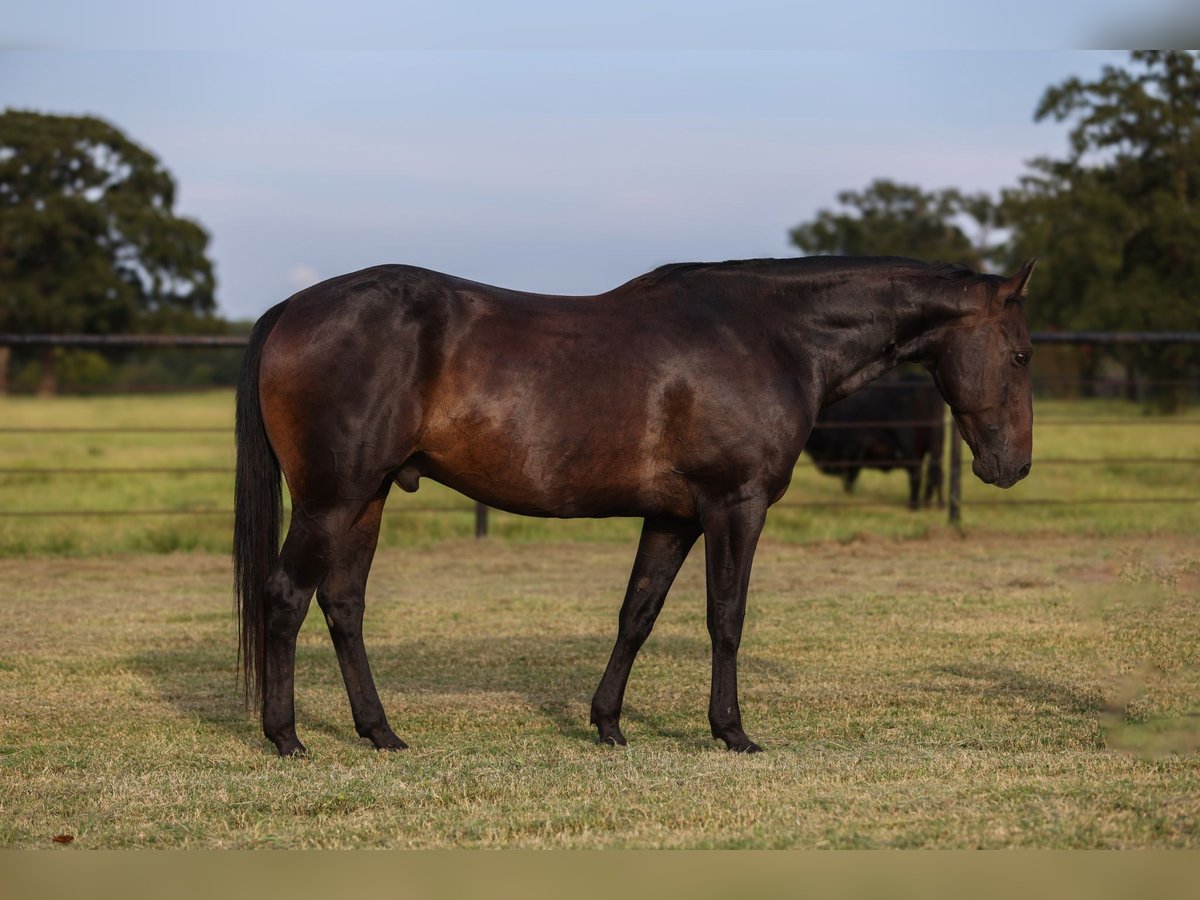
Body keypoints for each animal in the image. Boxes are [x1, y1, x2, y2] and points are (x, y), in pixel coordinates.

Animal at [234, 255, 1035, 757]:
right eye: (1023, 353)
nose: (1013, 465)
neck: (771, 337)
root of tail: (292, 307)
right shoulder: (734, 505)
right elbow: (726, 618)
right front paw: (732, 732)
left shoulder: (674, 516)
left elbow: (637, 614)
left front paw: (609, 725)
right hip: (329, 501)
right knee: (285, 597)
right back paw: (287, 737)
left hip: (365, 499)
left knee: (343, 606)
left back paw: (381, 733)